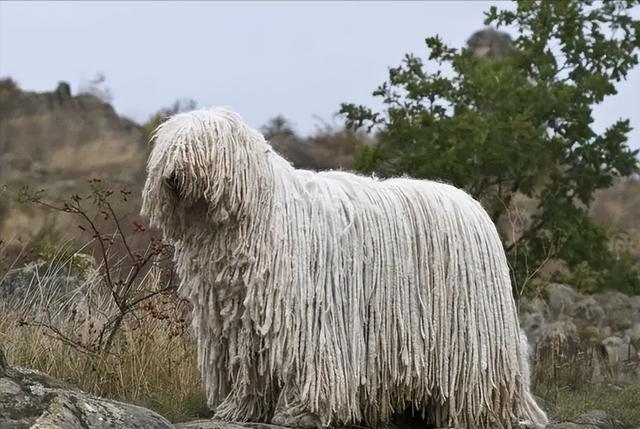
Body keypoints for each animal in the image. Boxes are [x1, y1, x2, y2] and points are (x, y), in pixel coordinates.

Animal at [142, 107, 548, 428]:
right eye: (168, 148)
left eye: (200, 146)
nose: (173, 176)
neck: (258, 213)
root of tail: (471, 205)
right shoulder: (240, 320)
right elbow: (249, 369)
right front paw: (240, 409)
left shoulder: (309, 315)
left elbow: (312, 364)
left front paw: (302, 413)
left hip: (470, 328)